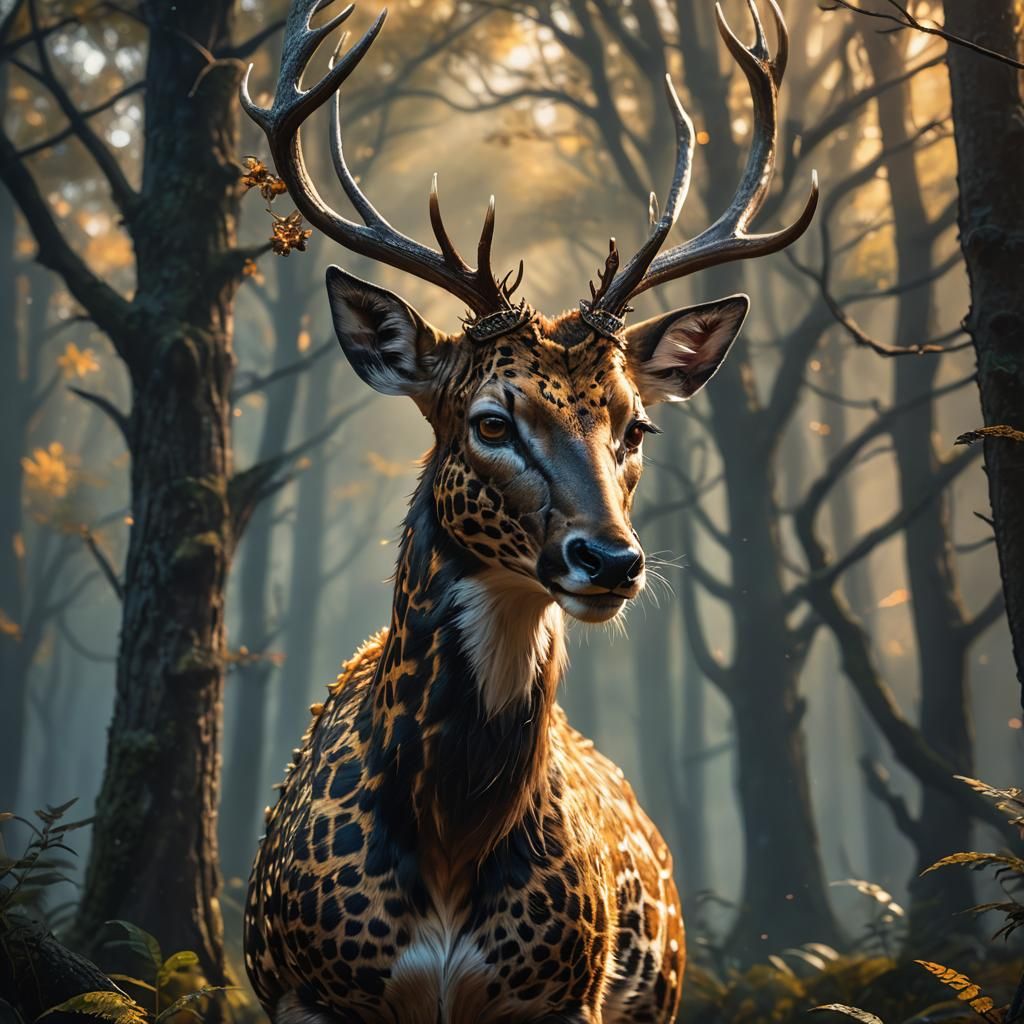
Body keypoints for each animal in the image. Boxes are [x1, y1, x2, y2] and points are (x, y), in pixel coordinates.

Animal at [240, 1, 816, 1021]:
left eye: (635, 427)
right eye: (491, 420)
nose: (612, 561)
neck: (450, 850)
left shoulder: (564, 990)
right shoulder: (306, 988)